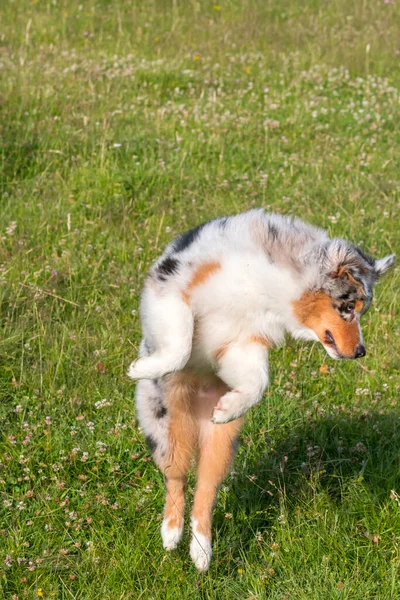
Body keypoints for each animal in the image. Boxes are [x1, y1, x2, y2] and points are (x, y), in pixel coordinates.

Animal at [127, 211, 394, 572]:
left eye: (361, 309)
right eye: (348, 307)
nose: (361, 352)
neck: (271, 285)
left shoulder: (244, 341)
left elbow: (258, 381)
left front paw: (229, 406)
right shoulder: (171, 287)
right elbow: (181, 344)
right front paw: (142, 367)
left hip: (220, 446)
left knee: (204, 491)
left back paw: (201, 553)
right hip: (166, 431)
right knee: (177, 480)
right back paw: (170, 534)